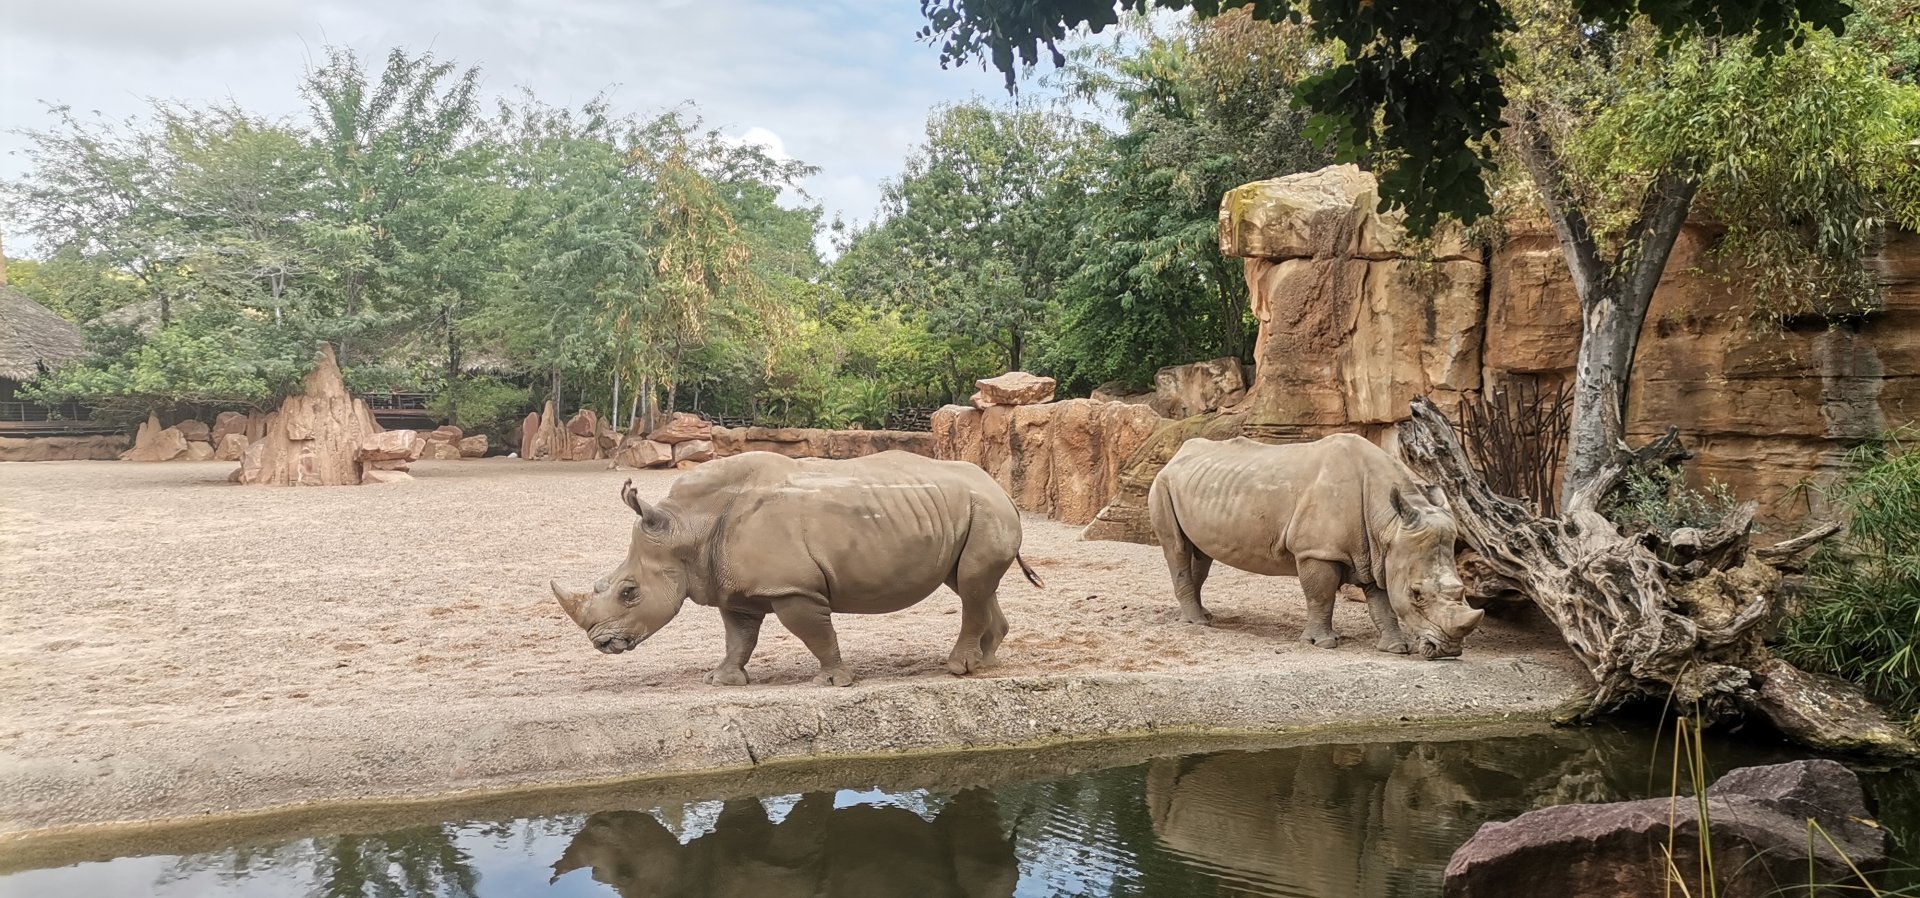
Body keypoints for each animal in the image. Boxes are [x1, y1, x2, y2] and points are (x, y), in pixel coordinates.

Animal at [551, 451, 1042, 686]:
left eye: (629, 592)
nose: (601, 643)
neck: (687, 527)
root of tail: (1000, 486)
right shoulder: (736, 590)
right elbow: (739, 637)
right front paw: (722, 681)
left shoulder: (792, 589)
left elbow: (814, 633)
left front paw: (832, 682)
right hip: (968, 510)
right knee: (971, 584)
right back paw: (987, 663)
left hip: (985, 509)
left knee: (972, 586)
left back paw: (958, 669)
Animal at [1147, 433, 1483, 659]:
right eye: (1416, 594)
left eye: (1463, 590)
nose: (1449, 651)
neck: (1387, 523)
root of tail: (1176, 455)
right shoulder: (1317, 552)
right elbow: (1320, 596)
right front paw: (1322, 644)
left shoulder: (1378, 553)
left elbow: (1382, 602)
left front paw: (1396, 648)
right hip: (1162, 484)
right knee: (1177, 548)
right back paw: (1195, 624)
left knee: (1200, 556)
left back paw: (1205, 617)